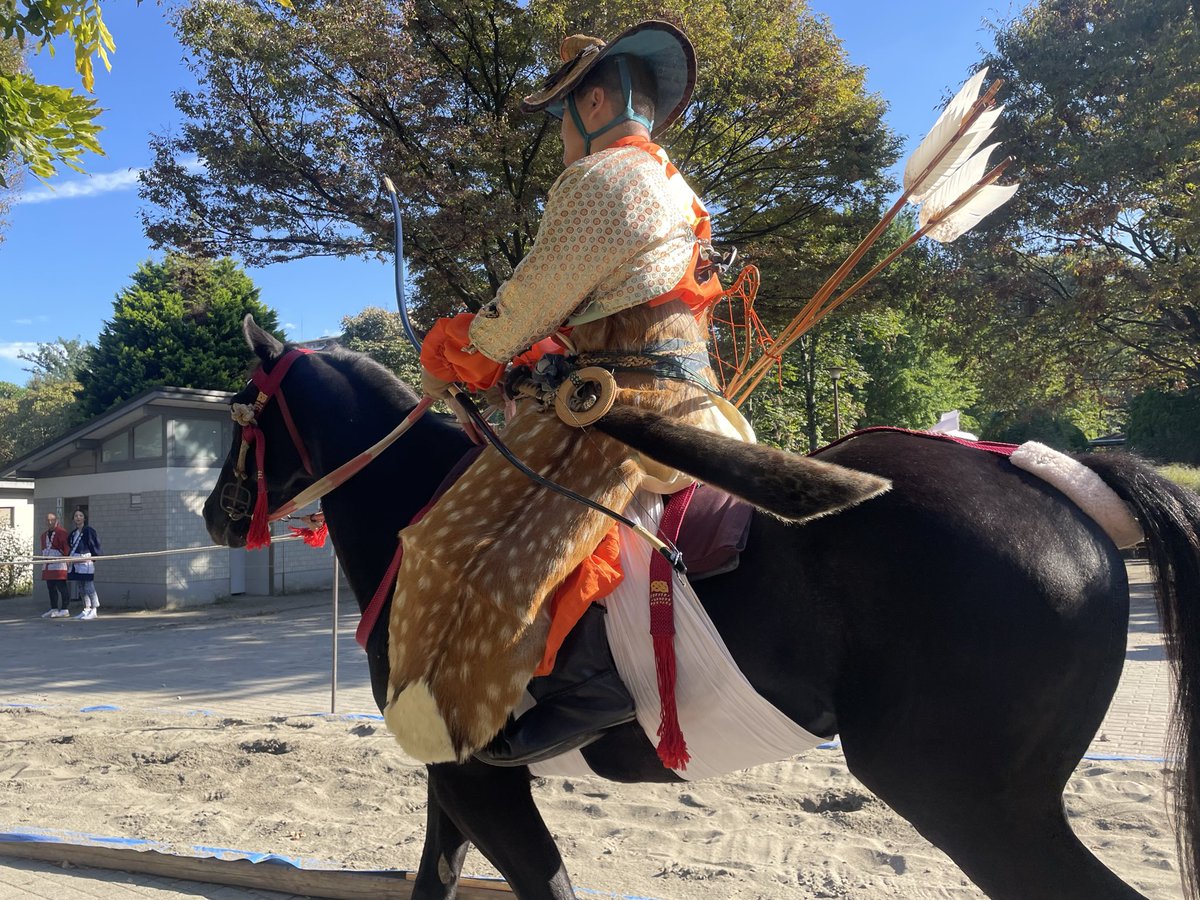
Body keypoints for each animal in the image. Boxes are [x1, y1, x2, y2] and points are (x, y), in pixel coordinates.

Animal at [203, 319, 1200, 900]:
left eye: (243, 413)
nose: (215, 512)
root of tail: (1060, 481)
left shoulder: (477, 779)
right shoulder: (458, 781)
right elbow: (434, 878)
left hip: (967, 801)